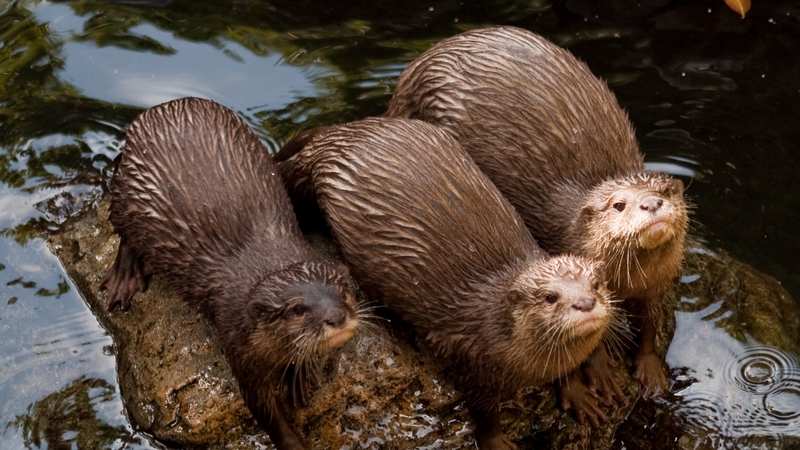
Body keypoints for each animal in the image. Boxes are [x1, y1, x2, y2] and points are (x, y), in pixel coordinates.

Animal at [99, 97, 360, 450]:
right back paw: (124, 277)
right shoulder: (238, 344)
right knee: (123, 230)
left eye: (343, 290)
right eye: (298, 309)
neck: (267, 259)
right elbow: (266, 413)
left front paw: (297, 374)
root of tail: (163, 107)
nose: (336, 316)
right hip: (129, 194)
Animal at [277, 117, 618, 450]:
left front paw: (576, 393)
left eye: (596, 284)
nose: (585, 303)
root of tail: (344, 135)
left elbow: (568, 371)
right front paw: (496, 442)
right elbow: (484, 413)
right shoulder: (471, 361)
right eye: (550, 297)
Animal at [387, 25, 688, 425]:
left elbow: (650, 323)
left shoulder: (656, 284)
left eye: (665, 191)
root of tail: (417, 67)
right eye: (618, 204)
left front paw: (650, 368)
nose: (651, 203)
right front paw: (601, 374)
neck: (628, 280)